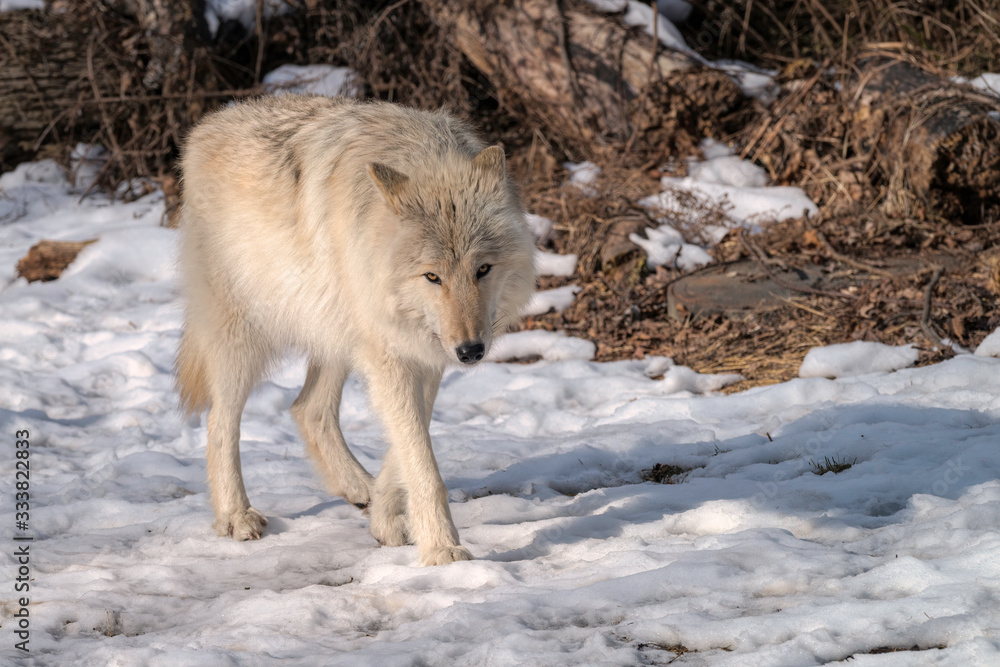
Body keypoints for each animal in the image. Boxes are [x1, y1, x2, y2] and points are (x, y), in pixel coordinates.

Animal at [175, 95, 536, 566]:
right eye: (432, 277)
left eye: (483, 269)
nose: (471, 351)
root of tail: (204, 127)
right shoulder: (391, 352)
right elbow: (422, 463)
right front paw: (442, 547)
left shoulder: (422, 352)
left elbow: (408, 443)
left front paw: (386, 517)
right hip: (242, 340)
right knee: (220, 424)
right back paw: (236, 516)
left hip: (336, 334)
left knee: (307, 409)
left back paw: (359, 487)